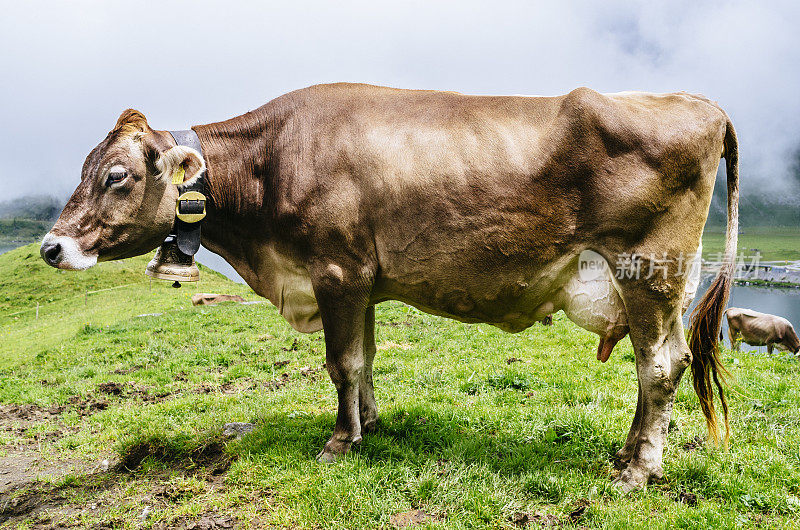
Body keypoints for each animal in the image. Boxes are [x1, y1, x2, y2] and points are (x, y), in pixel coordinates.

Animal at [37, 82, 736, 490]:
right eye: (86, 167)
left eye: (117, 176)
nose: (51, 247)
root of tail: (700, 103)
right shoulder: (362, 282)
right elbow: (366, 358)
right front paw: (370, 422)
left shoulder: (336, 271)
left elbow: (341, 362)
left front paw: (340, 441)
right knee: (665, 366)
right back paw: (629, 454)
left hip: (647, 270)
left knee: (659, 367)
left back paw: (638, 468)